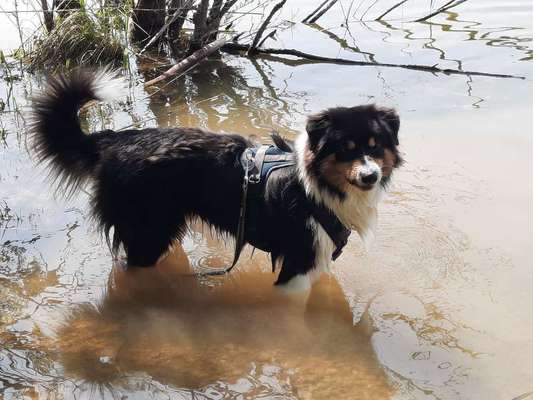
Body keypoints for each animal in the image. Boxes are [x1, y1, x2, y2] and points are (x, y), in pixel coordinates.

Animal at [31, 69, 402, 290]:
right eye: (345, 150)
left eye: (375, 146)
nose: (370, 176)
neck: (315, 185)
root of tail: (114, 140)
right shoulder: (297, 263)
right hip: (147, 233)